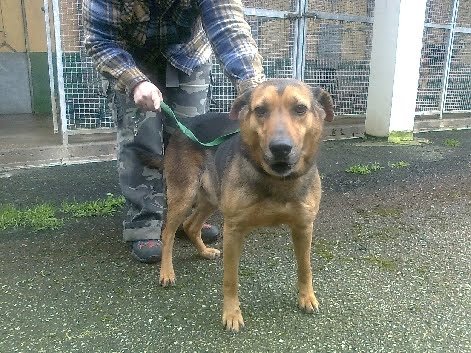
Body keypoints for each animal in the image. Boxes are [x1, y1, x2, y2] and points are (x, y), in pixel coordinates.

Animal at [159, 78, 336, 332]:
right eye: (260, 110)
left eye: (300, 109)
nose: (280, 148)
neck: (277, 179)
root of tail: (186, 124)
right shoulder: (234, 230)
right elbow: (230, 279)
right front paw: (232, 314)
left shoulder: (303, 227)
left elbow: (305, 267)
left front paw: (306, 297)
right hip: (184, 195)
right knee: (168, 232)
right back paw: (166, 272)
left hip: (211, 197)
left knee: (191, 226)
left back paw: (204, 252)